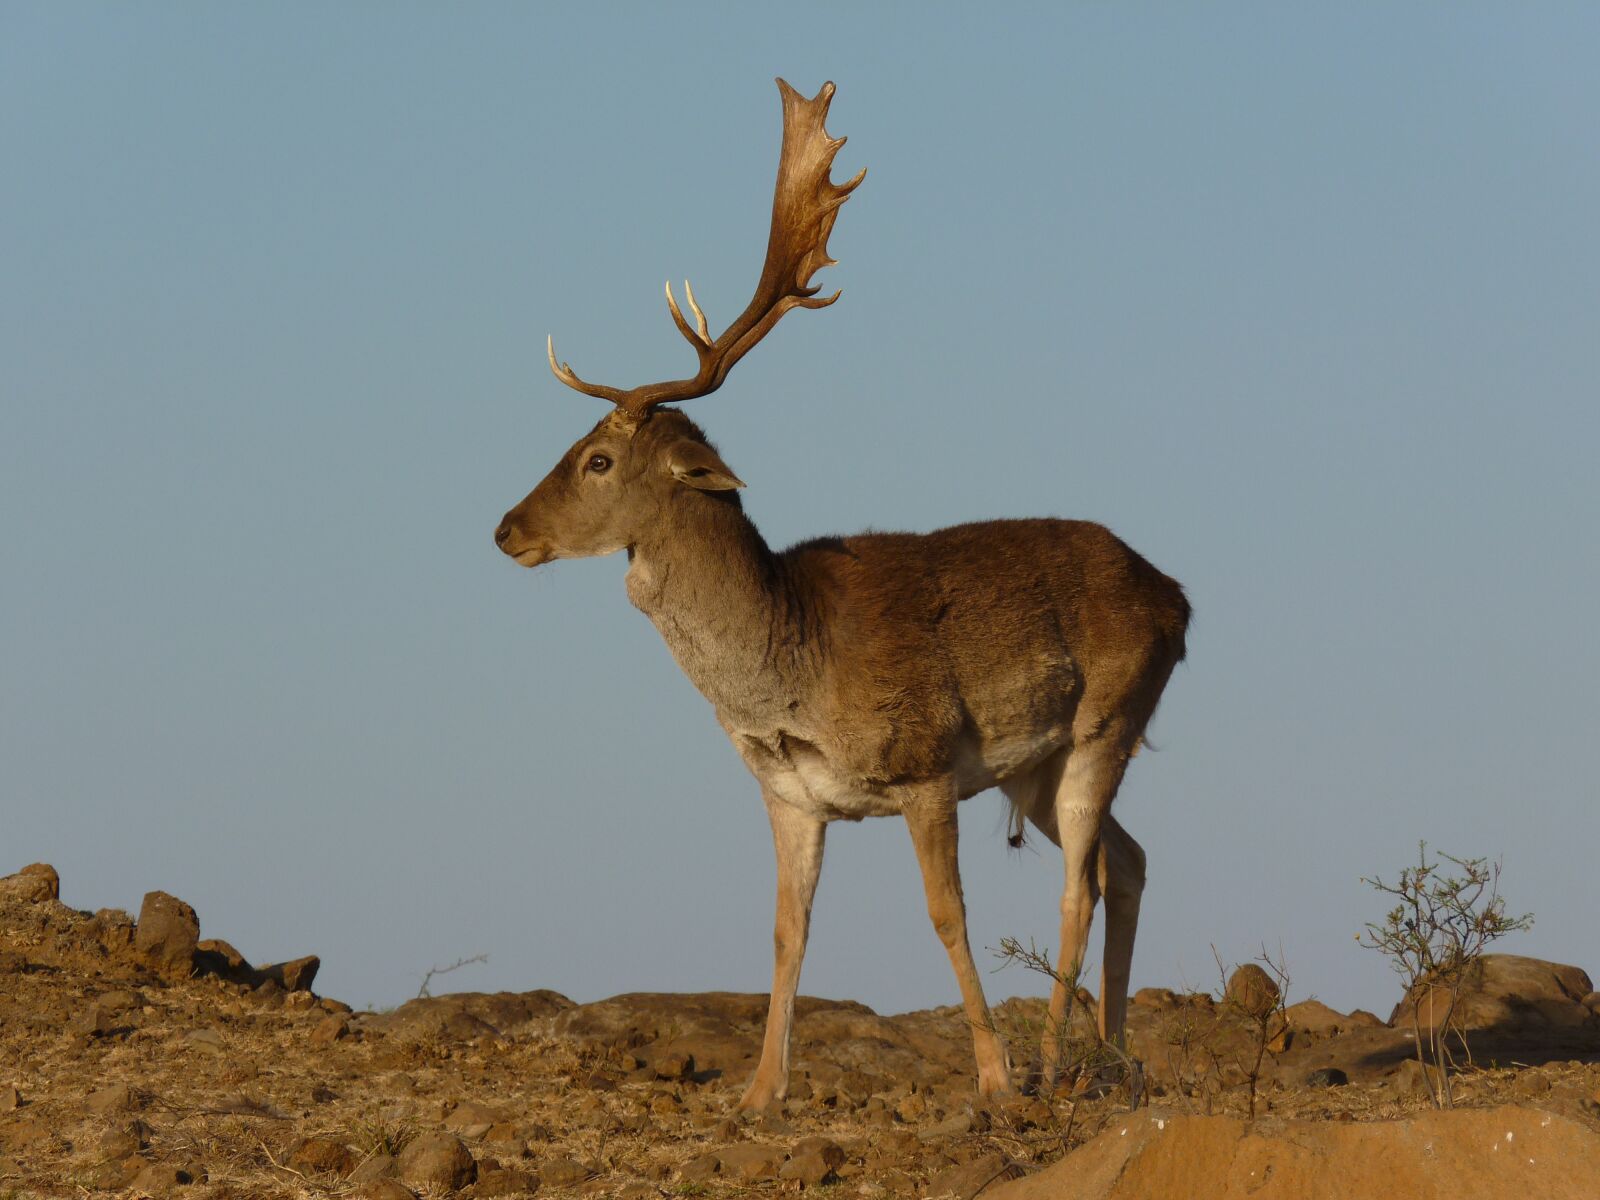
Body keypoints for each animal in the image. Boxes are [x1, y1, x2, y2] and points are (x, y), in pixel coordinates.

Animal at [496, 80, 1190, 1113]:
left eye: (599, 459)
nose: (505, 528)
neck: (792, 669)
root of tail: (1181, 601)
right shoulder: (789, 794)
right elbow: (788, 931)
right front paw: (759, 1091)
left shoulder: (926, 762)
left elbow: (947, 914)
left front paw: (991, 1078)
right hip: (1038, 761)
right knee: (1129, 859)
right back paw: (1108, 1057)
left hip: (1106, 719)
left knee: (1081, 880)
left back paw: (1052, 1062)